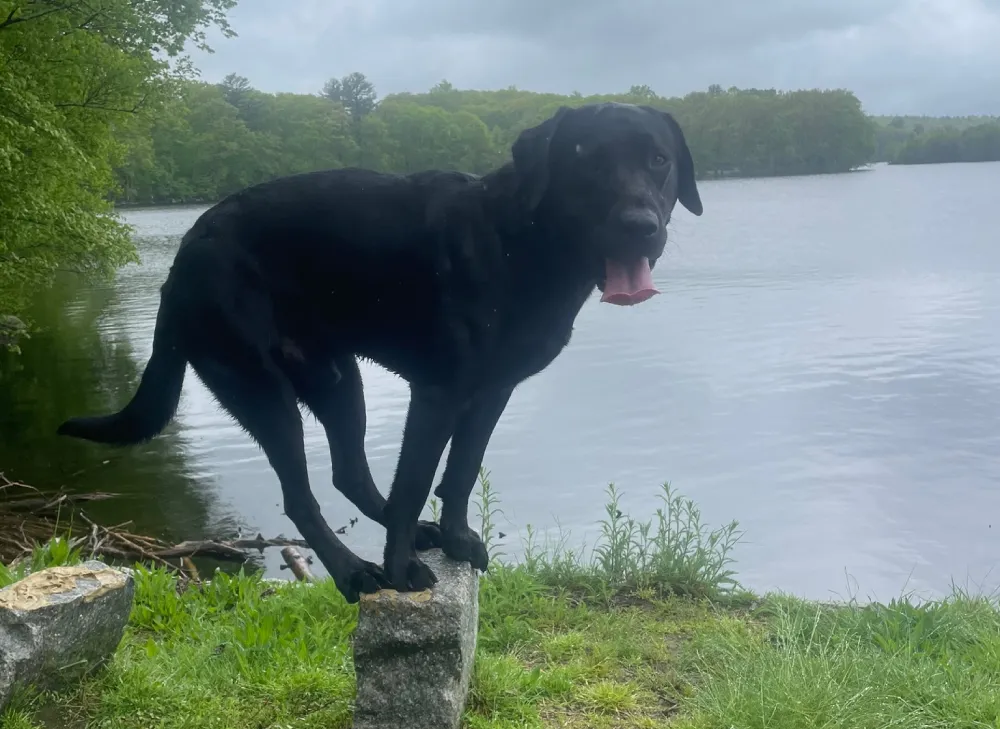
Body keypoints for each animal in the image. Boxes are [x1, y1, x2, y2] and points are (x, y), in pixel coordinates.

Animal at [57, 102, 703, 603]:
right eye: (587, 158)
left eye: (658, 160)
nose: (640, 225)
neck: (520, 243)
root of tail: (183, 255)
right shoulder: (438, 392)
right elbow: (418, 480)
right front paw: (400, 571)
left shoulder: (491, 391)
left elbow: (460, 472)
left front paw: (456, 539)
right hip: (261, 389)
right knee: (302, 497)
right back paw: (353, 571)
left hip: (338, 379)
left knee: (350, 475)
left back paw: (407, 537)